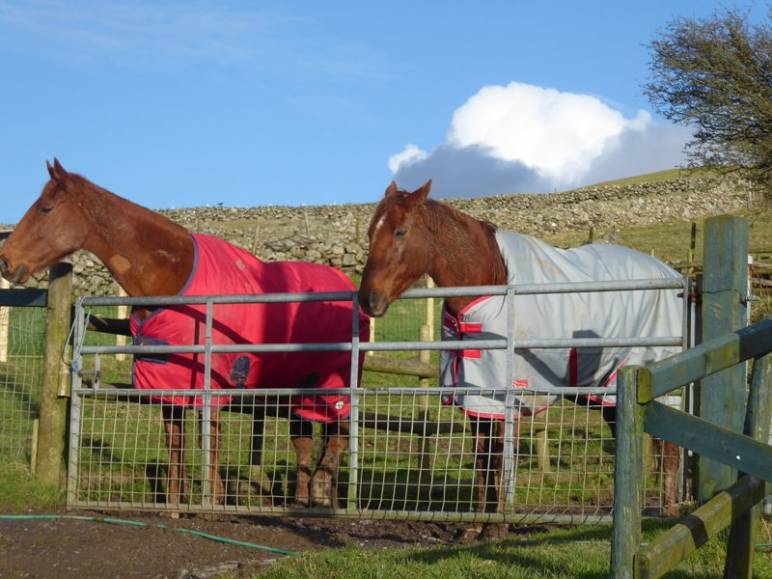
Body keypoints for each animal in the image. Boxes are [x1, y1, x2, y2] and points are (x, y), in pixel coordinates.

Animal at [358, 181, 680, 544]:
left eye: (400, 231)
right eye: (370, 232)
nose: (368, 299)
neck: (491, 280)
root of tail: (672, 275)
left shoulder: (503, 398)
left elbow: (499, 456)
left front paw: (496, 526)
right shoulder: (477, 398)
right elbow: (482, 458)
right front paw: (475, 525)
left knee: (669, 447)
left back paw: (667, 512)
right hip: (608, 392)